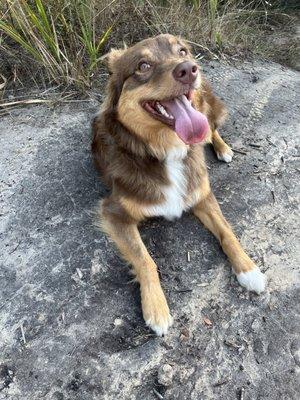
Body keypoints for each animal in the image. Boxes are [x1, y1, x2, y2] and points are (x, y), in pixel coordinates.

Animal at [91, 34, 264, 336]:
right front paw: (156, 308)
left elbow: (227, 232)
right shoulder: (114, 212)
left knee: (211, 128)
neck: (165, 150)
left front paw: (249, 269)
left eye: (182, 51)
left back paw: (223, 148)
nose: (189, 69)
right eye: (143, 66)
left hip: (205, 107)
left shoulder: (202, 194)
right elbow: (145, 260)